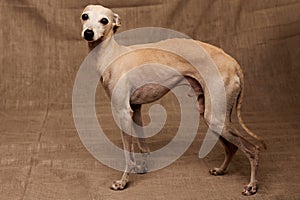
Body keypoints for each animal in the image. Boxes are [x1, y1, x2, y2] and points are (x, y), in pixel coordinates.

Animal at [80, 4, 268, 195]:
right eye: (85, 16)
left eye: (104, 20)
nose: (88, 33)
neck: (111, 55)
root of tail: (233, 62)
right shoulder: (136, 109)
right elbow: (143, 147)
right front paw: (142, 168)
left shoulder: (124, 113)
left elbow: (128, 154)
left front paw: (123, 182)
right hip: (212, 115)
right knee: (232, 147)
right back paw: (221, 170)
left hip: (216, 118)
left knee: (253, 149)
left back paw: (252, 186)